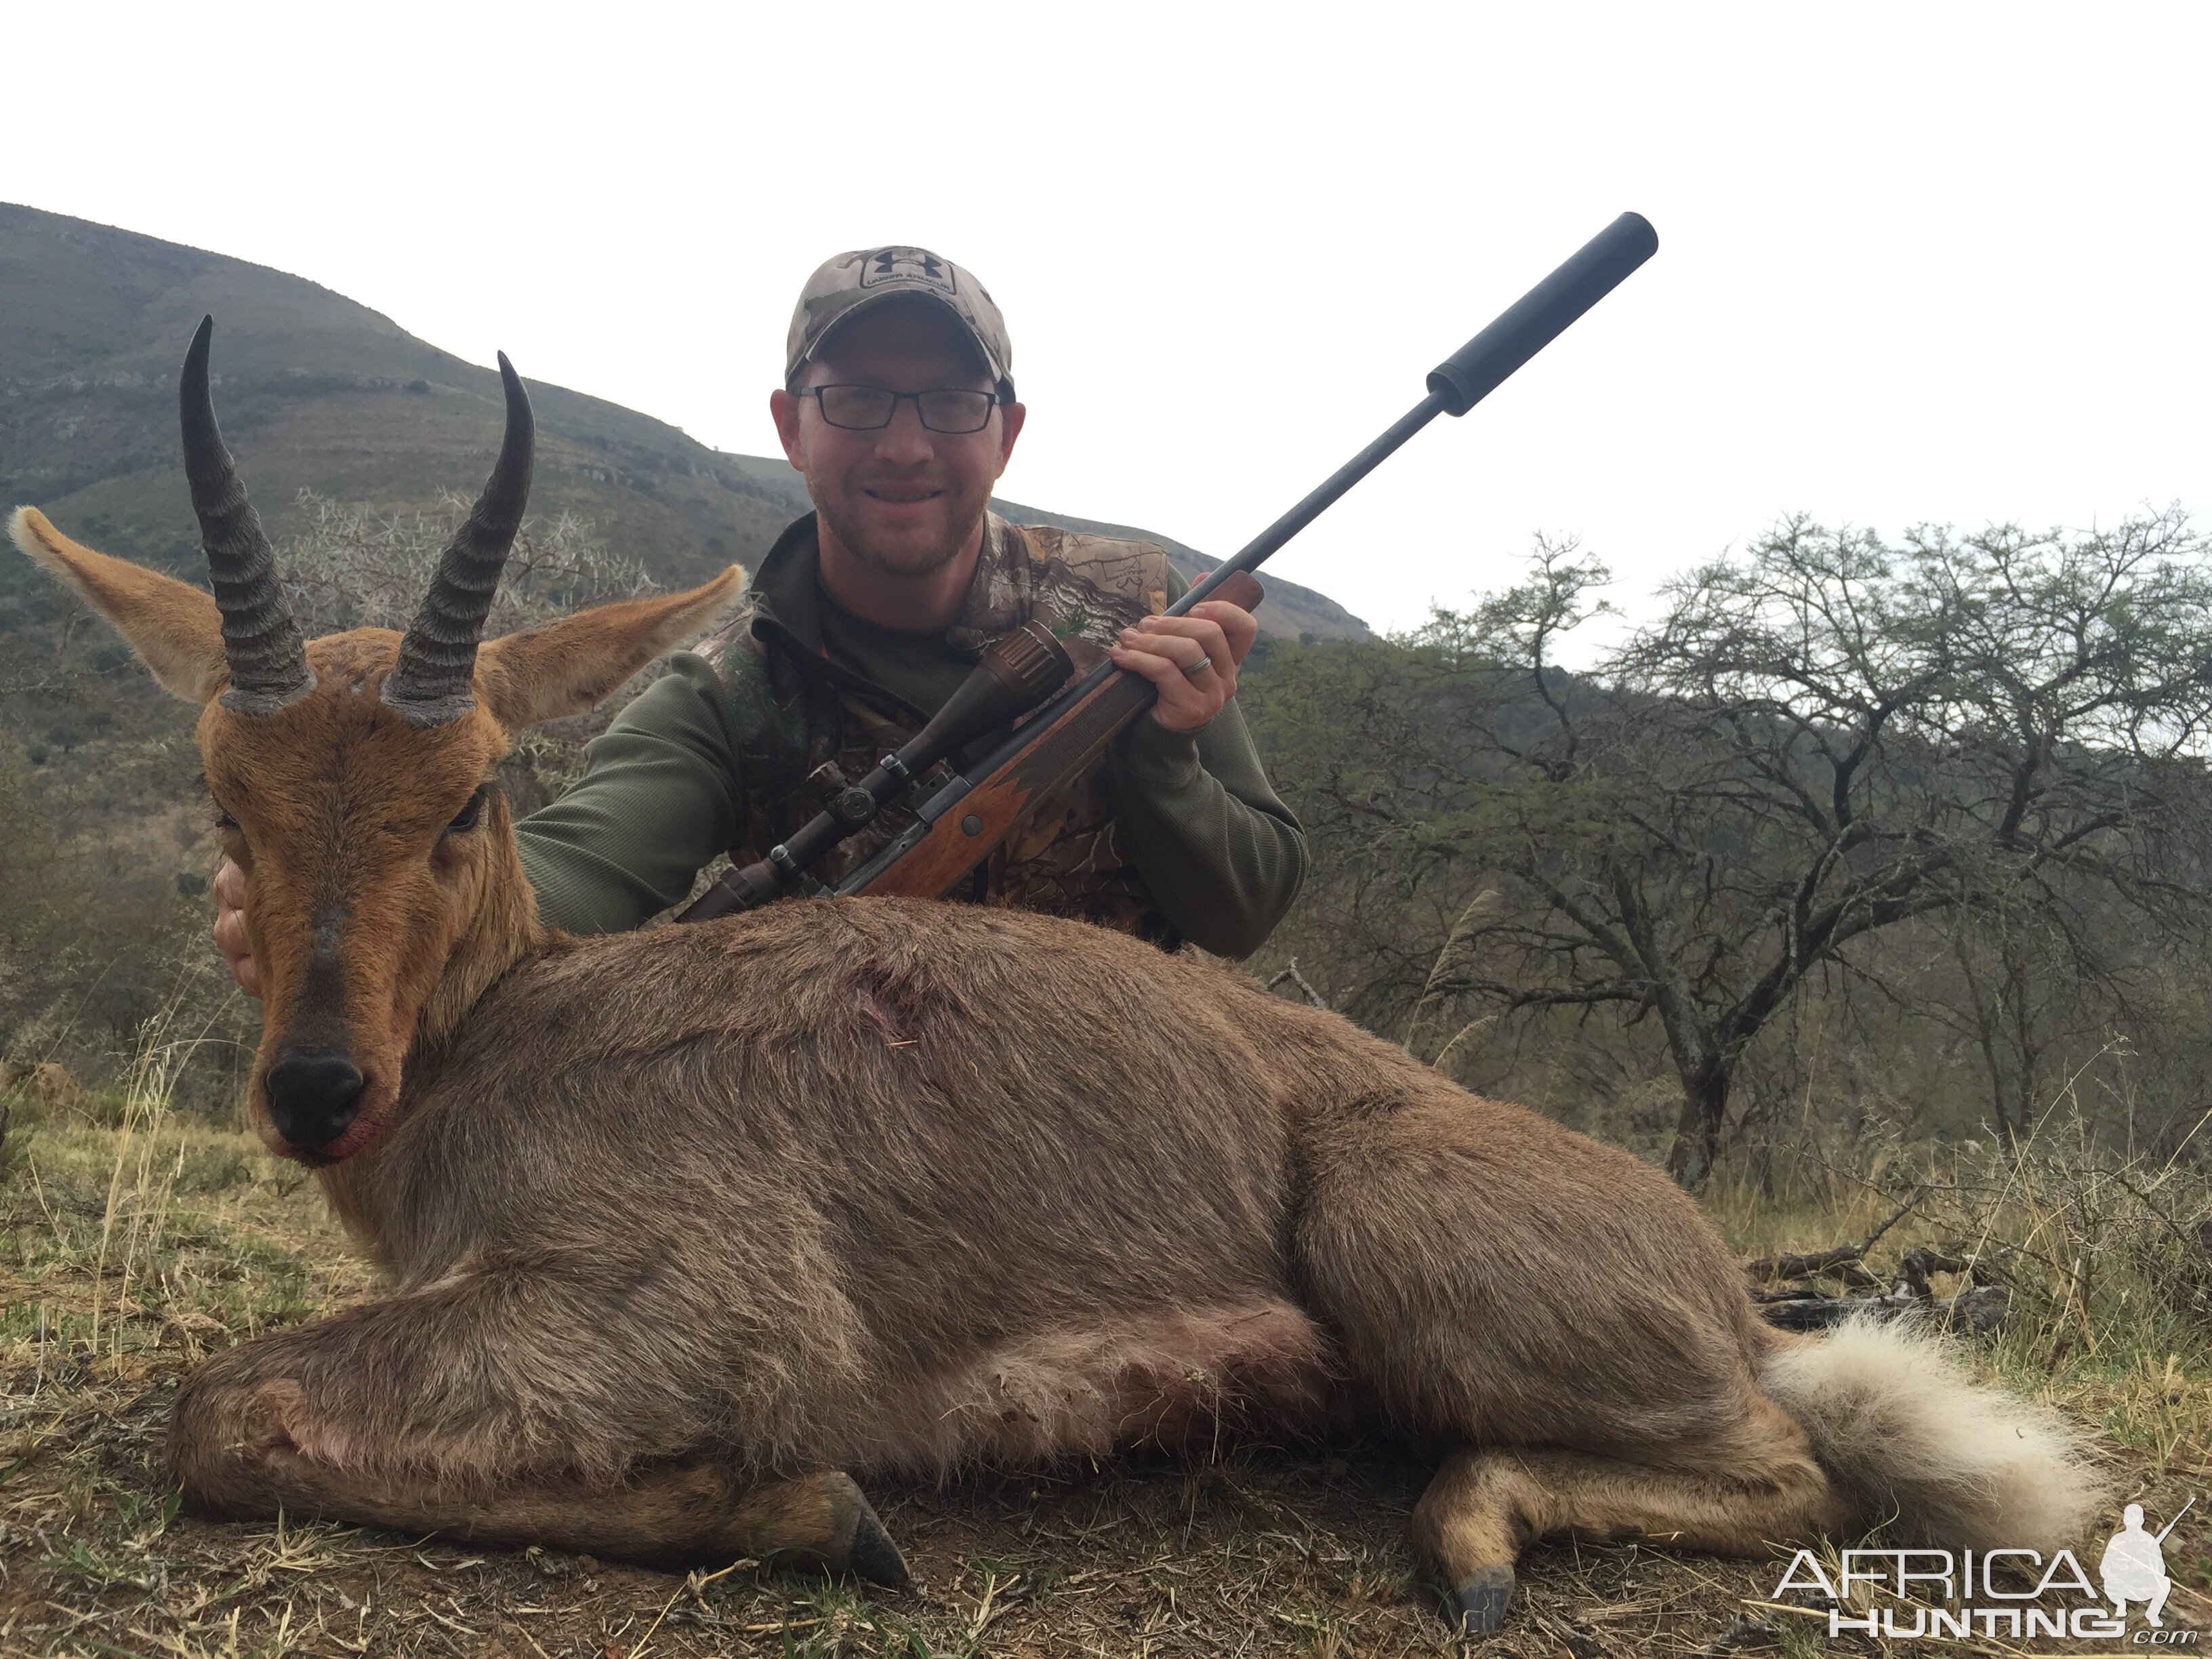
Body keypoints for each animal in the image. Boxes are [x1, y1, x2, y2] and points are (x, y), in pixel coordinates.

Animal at [8, 321, 2097, 1637]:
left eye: (466, 796)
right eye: (224, 799)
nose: (315, 1088)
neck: (523, 1027)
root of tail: (1724, 1281)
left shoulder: (691, 1311)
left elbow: (216, 1413)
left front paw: (817, 1514)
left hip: (1422, 1264)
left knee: (1797, 1472)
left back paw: (1472, 1538)